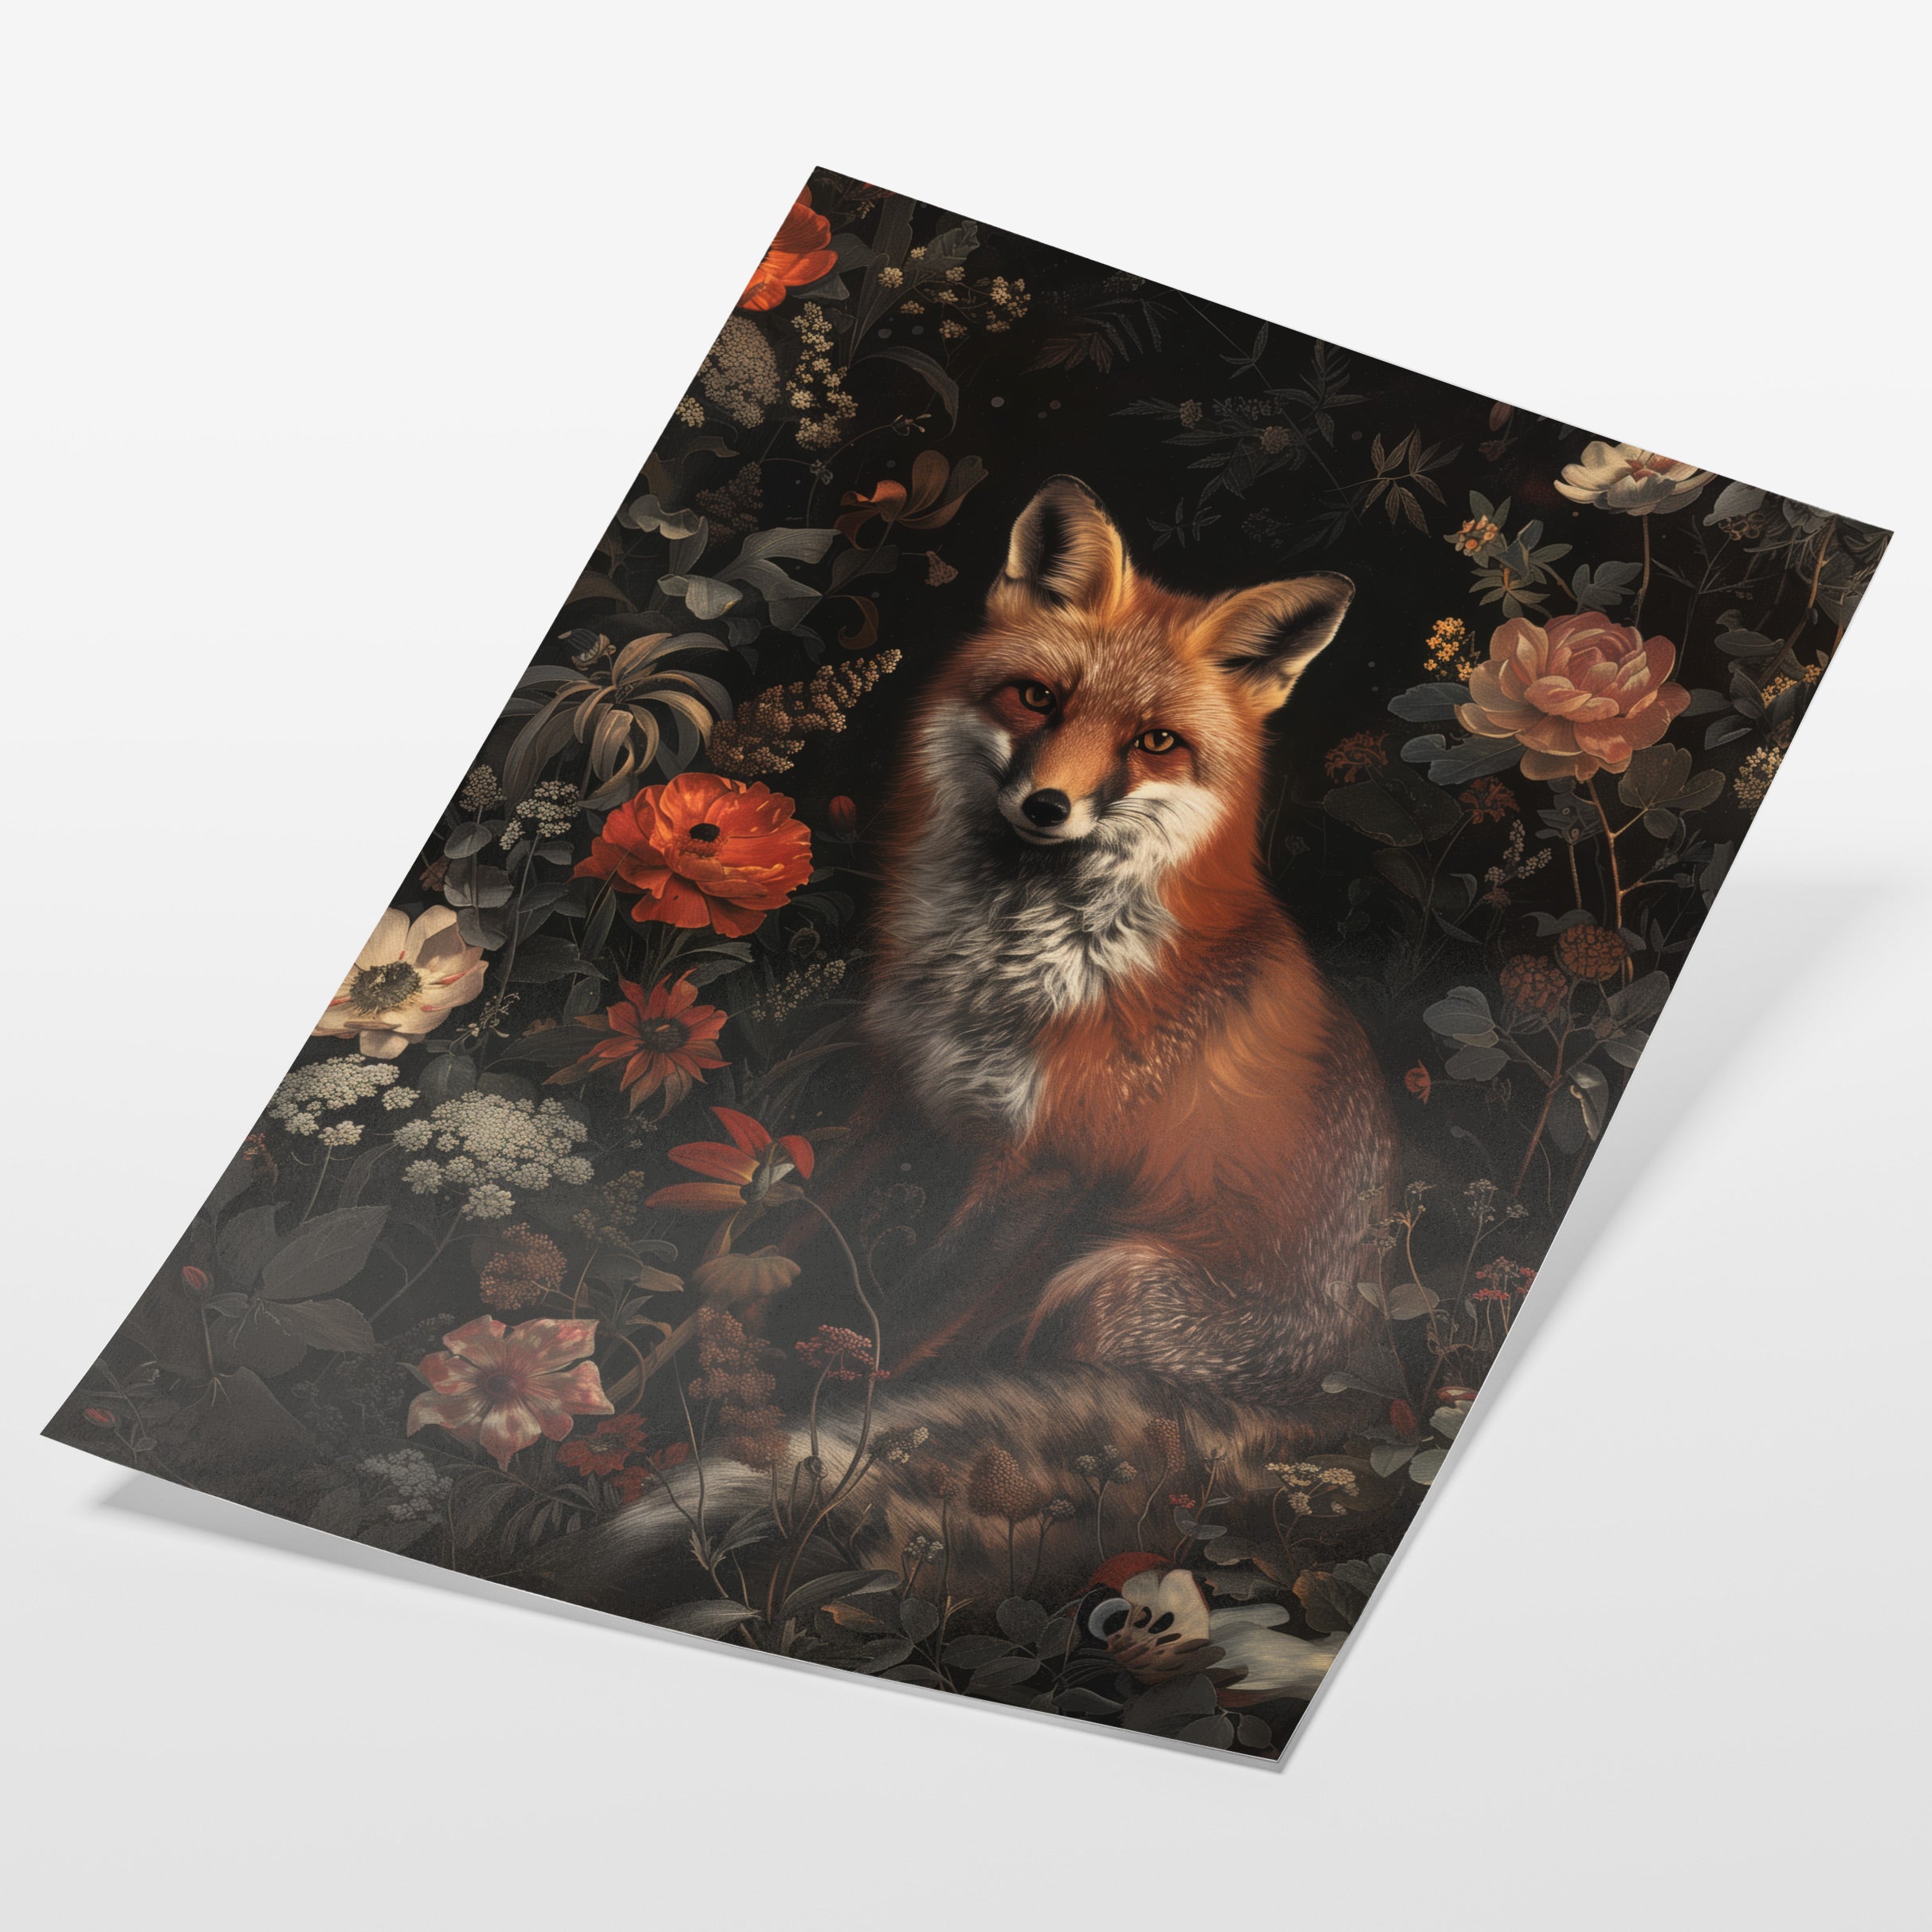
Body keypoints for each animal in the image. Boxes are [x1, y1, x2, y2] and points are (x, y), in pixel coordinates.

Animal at [555, 477, 1394, 1633]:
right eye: (1037, 698)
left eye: (1156, 742)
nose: (1049, 806)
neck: (1004, 969)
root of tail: (1363, 1405)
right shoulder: (893, 1100)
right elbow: (757, 1273)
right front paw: (638, 1399)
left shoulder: (1043, 1172)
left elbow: (896, 1341)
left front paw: (798, 1453)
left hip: (1107, 1283)